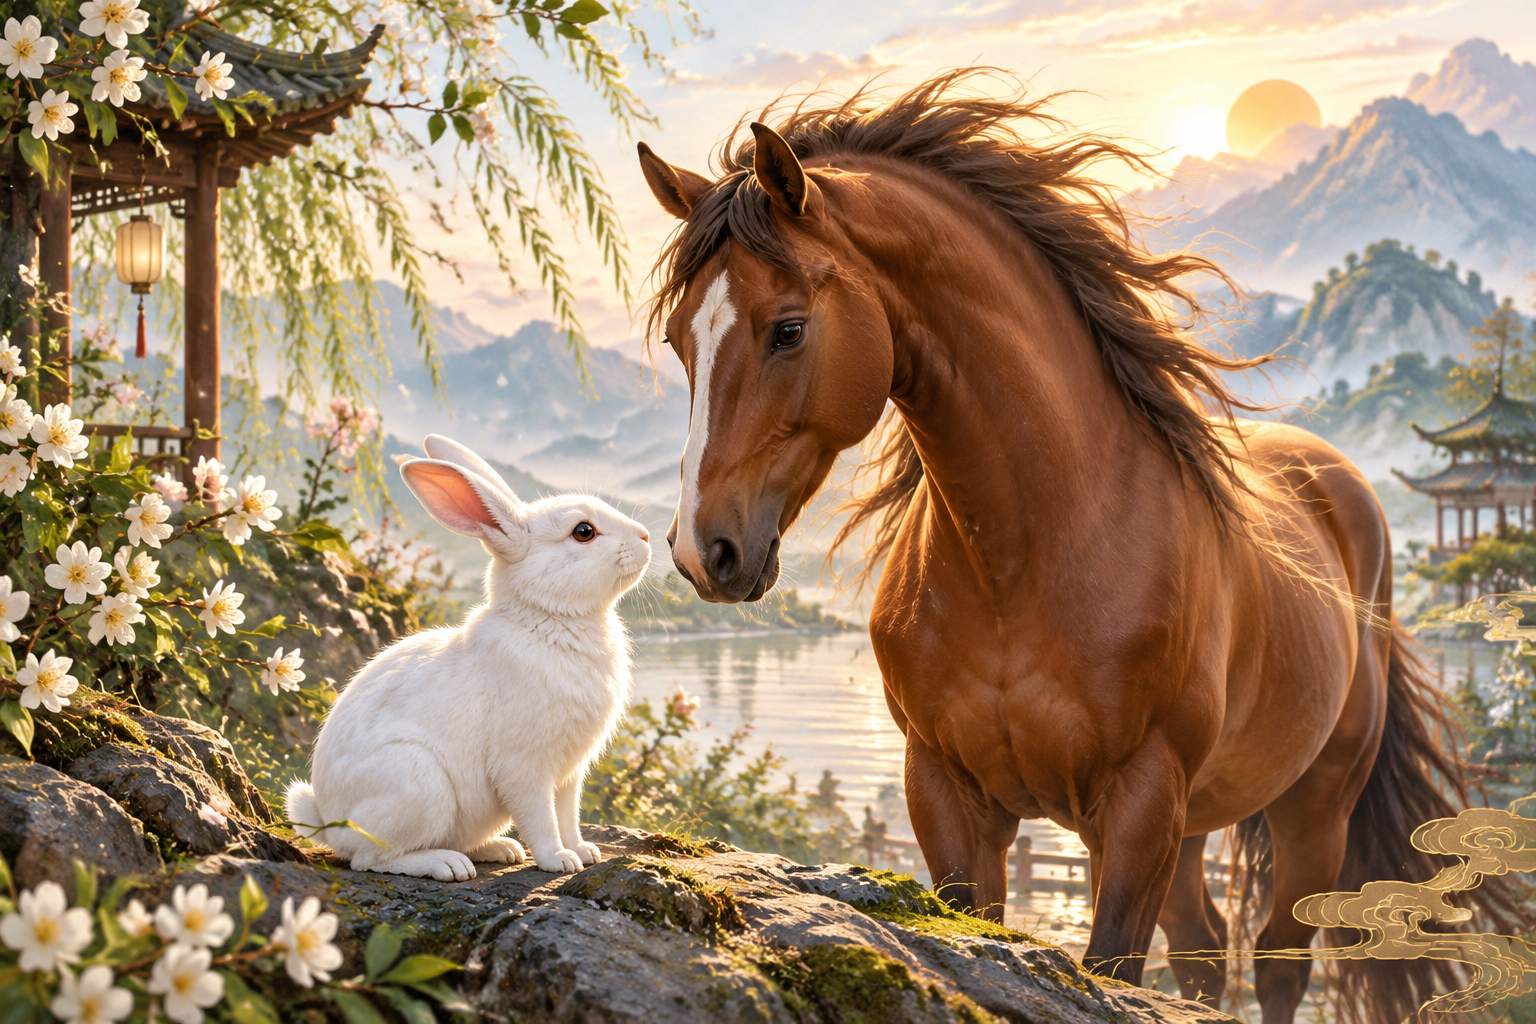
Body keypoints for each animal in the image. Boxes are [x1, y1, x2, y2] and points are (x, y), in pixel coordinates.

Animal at [635, 71, 1516, 1023]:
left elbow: (1116, 968)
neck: (1026, 561)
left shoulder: (1138, 804)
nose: (702, 549)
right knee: (1207, 953)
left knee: (1279, 961)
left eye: (788, 328)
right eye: (680, 340)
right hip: (1196, 822)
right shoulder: (948, 796)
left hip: (1312, 807)